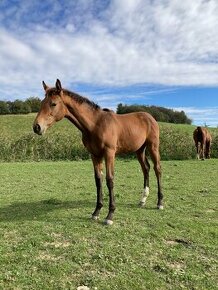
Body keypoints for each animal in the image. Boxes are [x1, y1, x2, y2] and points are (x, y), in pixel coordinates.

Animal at [33, 79, 164, 224]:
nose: (37, 127)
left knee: (157, 169)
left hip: (153, 146)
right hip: (139, 150)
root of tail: (150, 117)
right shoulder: (94, 155)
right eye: (41, 103)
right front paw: (96, 211)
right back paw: (143, 200)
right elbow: (98, 180)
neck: (95, 125)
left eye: (53, 103)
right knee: (146, 169)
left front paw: (110, 215)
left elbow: (109, 180)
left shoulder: (109, 153)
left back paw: (159, 202)